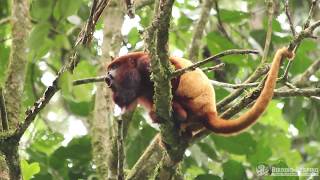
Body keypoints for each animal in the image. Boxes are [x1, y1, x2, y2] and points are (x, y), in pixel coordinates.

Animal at [106, 47, 294, 135]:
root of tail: (209, 111)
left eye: (114, 67)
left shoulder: (146, 62)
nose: (107, 76)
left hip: (195, 104)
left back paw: (178, 113)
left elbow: (173, 74)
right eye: (109, 69)